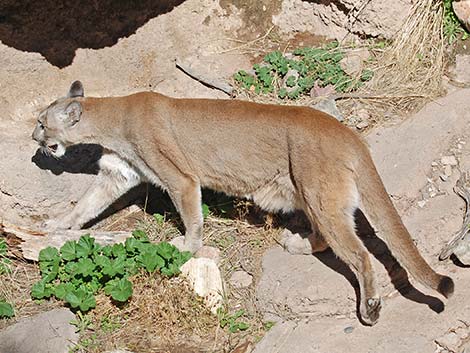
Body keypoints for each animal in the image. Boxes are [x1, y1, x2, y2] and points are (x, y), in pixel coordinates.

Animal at [31, 81, 454, 324]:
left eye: (41, 122)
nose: (33, 138)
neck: (111, 120)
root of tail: (346, 133)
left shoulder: (181, 179)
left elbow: (191, 218)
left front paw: (187, 247)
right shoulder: (117, 175)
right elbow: (85, 205)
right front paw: (57, 226)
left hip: (318, 194)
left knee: (360, 254)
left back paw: (369, 310)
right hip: (310, 194)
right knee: (328, 238)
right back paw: (296, 243)